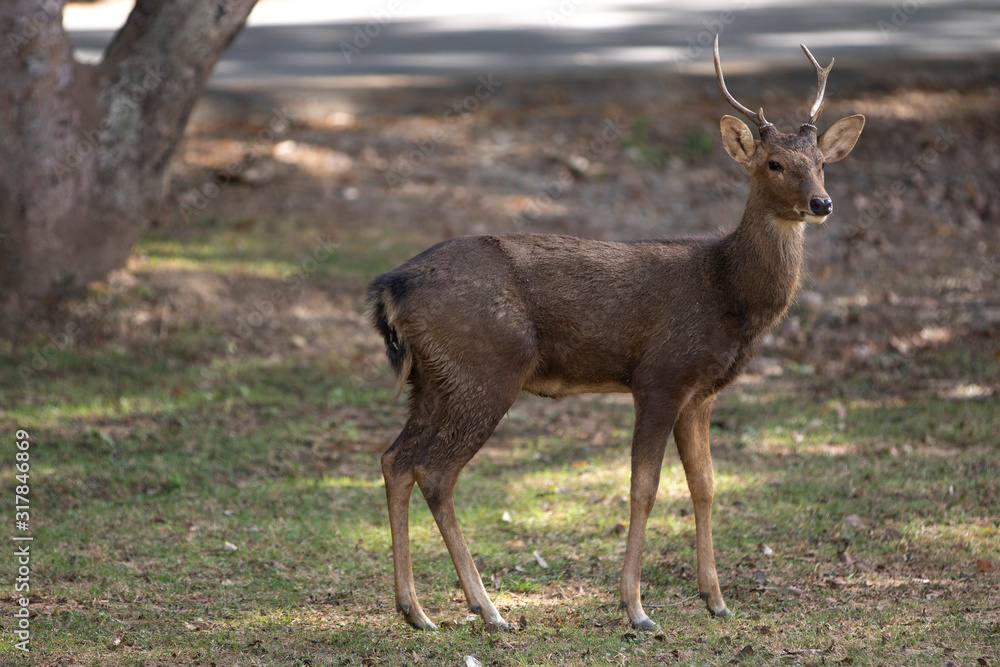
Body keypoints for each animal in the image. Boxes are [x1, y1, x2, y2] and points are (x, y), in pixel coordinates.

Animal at [368, 36, 868, 632]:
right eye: (774, 162)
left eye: (822, 165)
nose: (821, 203)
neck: (728, 294)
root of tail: (393, 287)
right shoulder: (660, 376)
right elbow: (643, 489)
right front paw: (636, 608)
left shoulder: (700, 393)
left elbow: (705, 485)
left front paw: (716, 598)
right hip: (485, 367)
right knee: (436, 471)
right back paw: (486, 609)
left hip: (431, 377)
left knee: (395, 459)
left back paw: (415, 609)